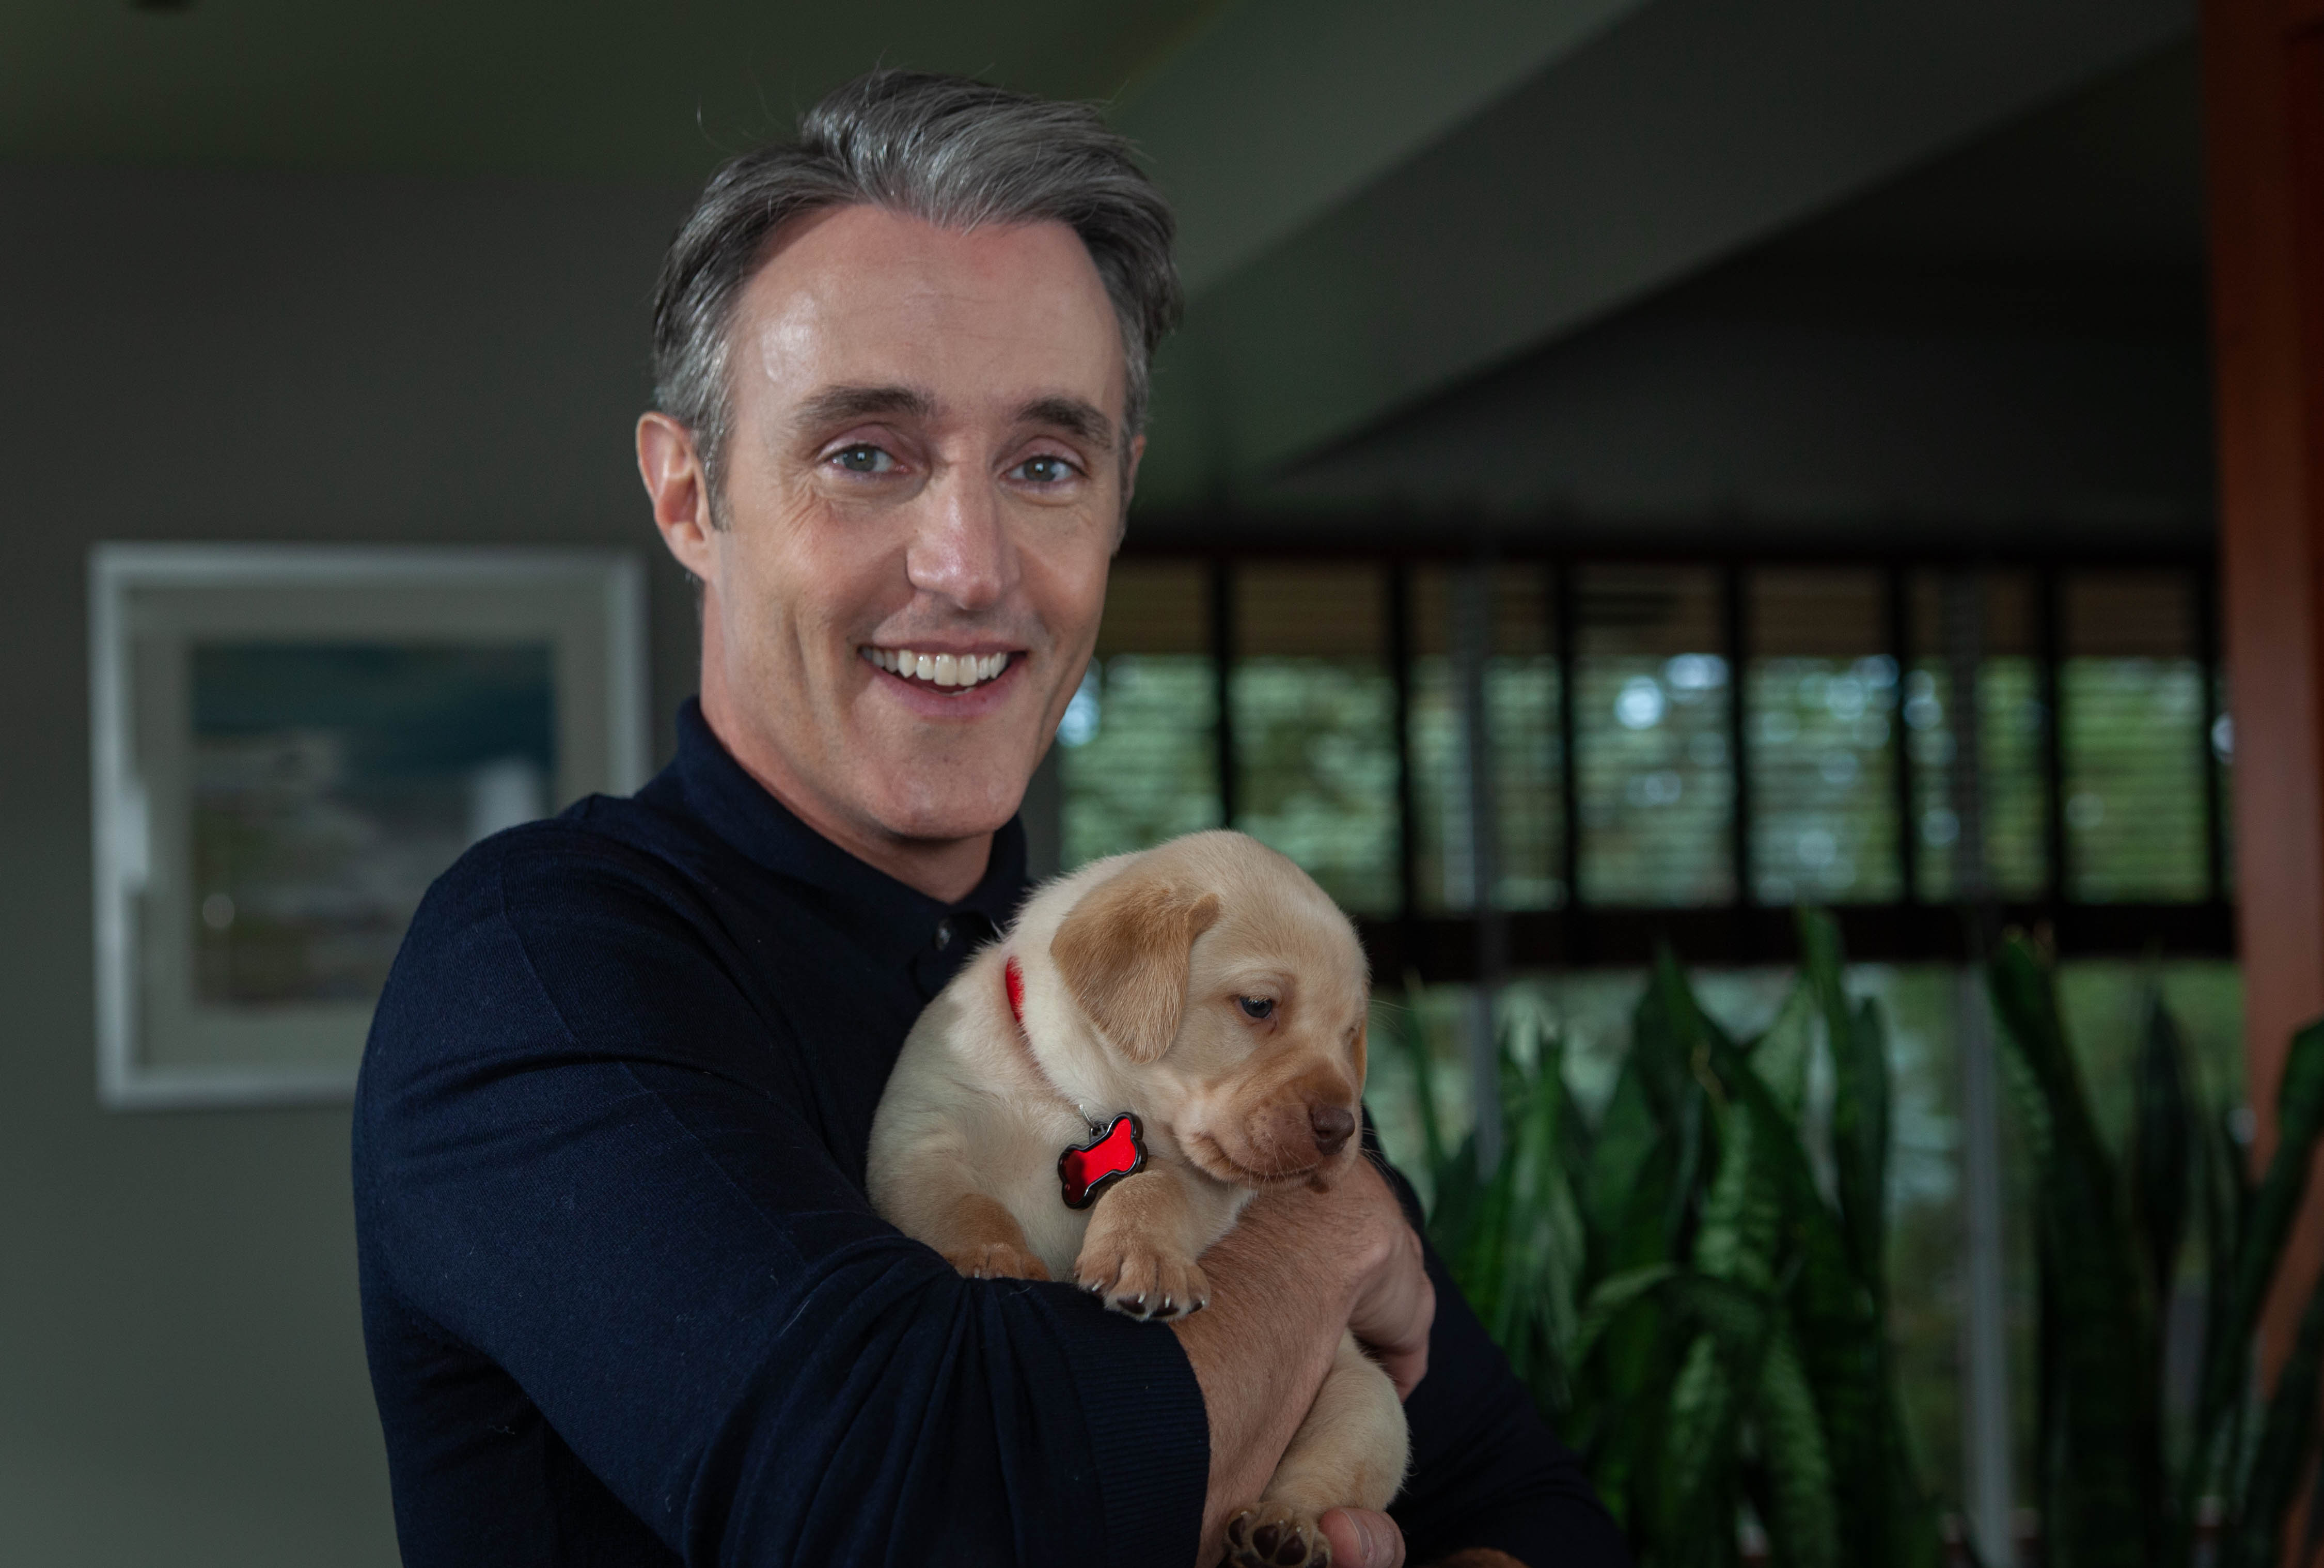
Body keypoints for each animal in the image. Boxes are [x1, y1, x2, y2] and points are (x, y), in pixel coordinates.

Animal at [869, 827, 1404, 1561]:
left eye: (1350, 1035)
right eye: (1258, 1006)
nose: (1342, 1129)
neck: (1081, 1109)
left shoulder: (1200, 1184)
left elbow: (1148, 1193)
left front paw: (1143, 1261)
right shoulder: (916, 1138)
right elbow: (961, 1202)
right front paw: (994, 1256)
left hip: (1366, 1402)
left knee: (1318, 1479)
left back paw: (1283, 1532)